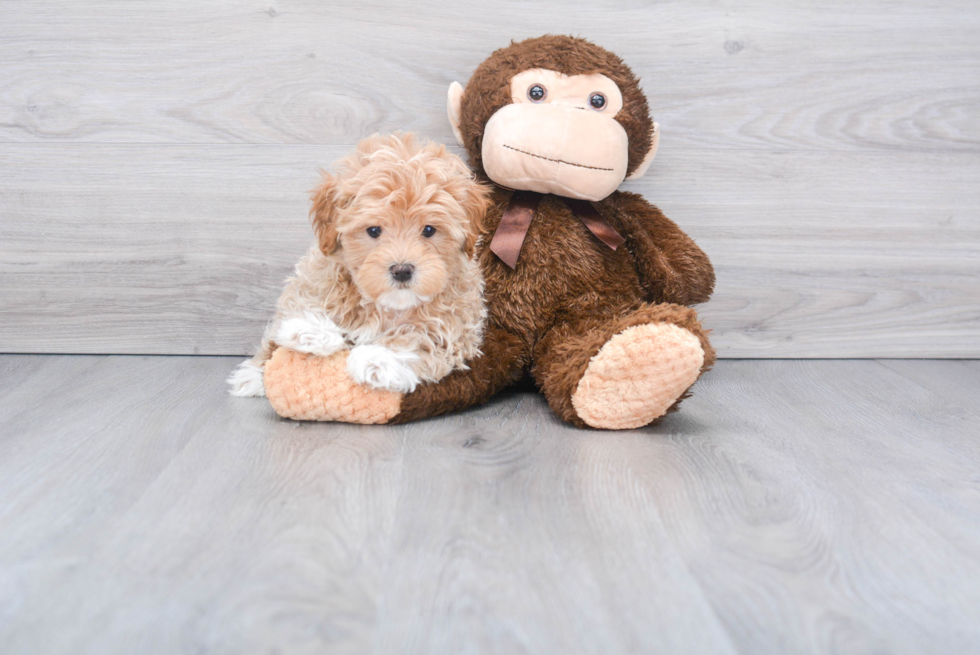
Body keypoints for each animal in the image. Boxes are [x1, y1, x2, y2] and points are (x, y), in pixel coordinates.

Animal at [229, 133, 490, 398]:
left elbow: (420, 338)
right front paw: (312, 330)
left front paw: (377, 359)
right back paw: (252, 375)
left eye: (429, 230)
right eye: (373, 230)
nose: (402, 270)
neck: (386, 307)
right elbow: (304, 301)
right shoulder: (317, 274)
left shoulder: (458, 328)